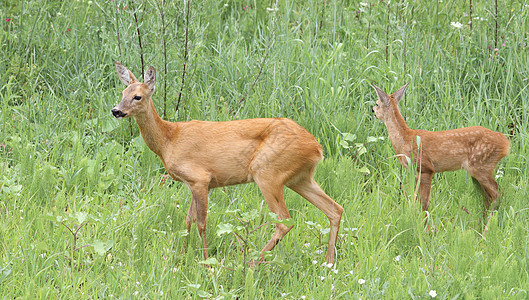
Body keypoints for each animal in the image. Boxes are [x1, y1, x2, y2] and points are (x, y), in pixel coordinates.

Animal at [111, 62, 342, 264]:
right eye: (122, 94)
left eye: (137, 96)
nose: (116, 110)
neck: (168, 140)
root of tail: (317, 148)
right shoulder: (192, 183)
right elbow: (188, 219)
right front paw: (182, 256)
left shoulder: (200, 178)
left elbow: (202, 223)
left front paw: (206, 262)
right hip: (300, 178)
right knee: (335, 209)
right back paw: (329, 262)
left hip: (267, 172)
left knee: (285, 220)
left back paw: (252, 263)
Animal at [372, 83, 508, 233]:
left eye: (377, 103)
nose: (372, 110)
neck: (405, 140)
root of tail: (505, 143)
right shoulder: (416, 172)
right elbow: (415, 199)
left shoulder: (426, 168)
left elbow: (424, 202)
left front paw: (426, 231)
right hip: (478, 170)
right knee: (487, 196)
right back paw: (479, 226)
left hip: (481, 165)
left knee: (497, 193)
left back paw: (486, 230)